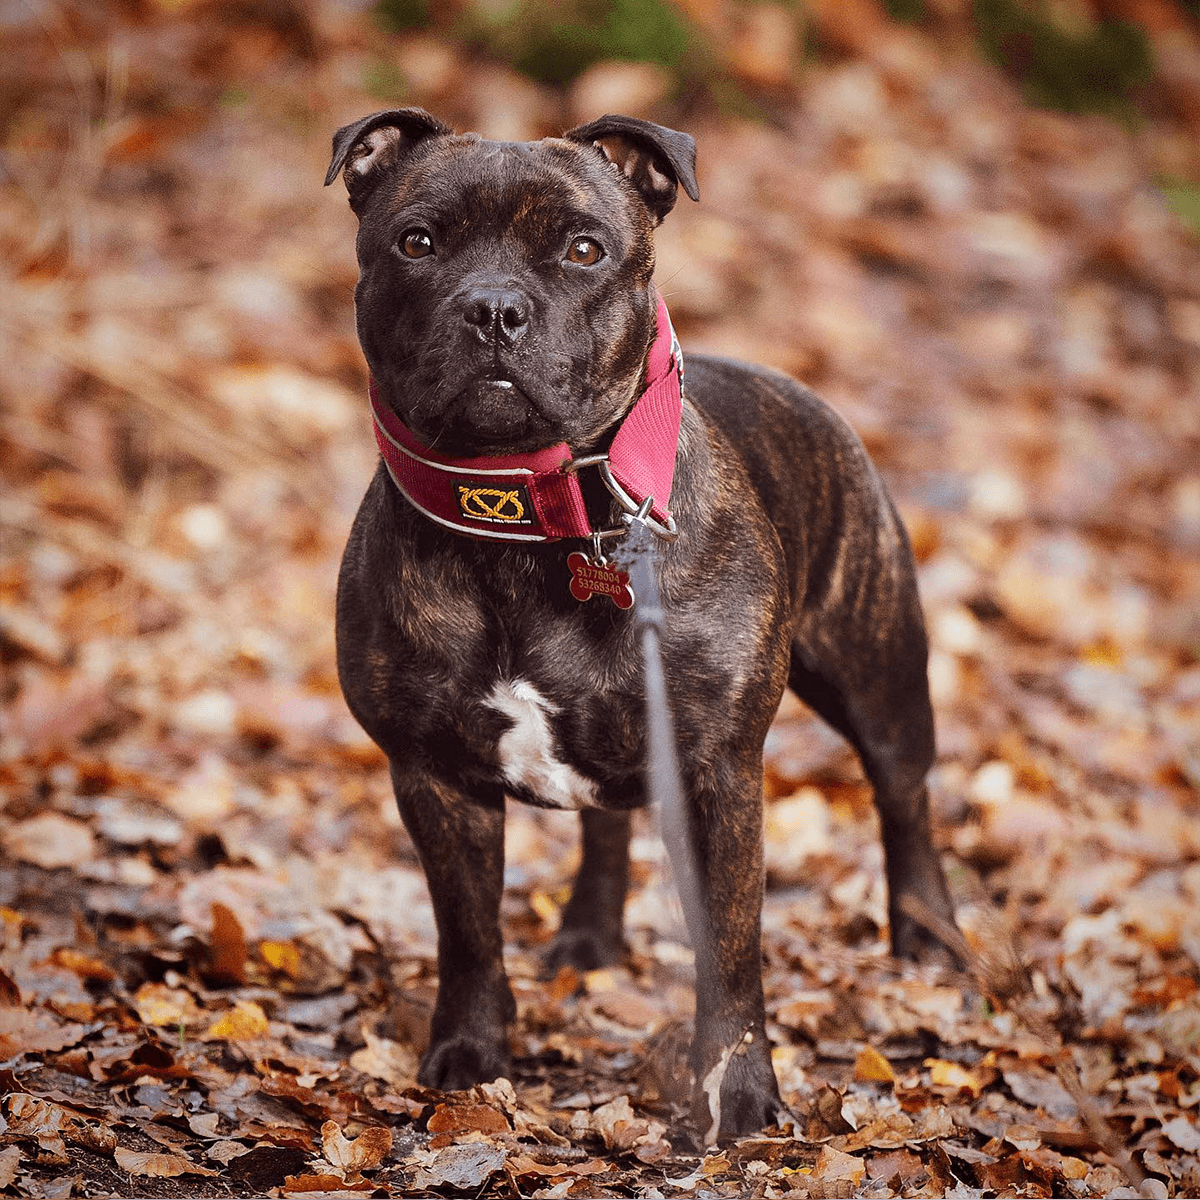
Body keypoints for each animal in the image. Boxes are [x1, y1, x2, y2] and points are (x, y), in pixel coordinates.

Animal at [324, 110, 960, 1132]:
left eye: (585, 250)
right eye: (416, 242)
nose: (494, 308)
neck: (533, 520)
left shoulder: (718, 777)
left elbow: (731, 952)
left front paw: (738, 1095)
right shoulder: (434, 777)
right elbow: (468, 933)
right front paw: (468, 1054)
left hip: (879, 676)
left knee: (904, 796)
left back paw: (929, 936)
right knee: (604, 826)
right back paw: (591, 932)